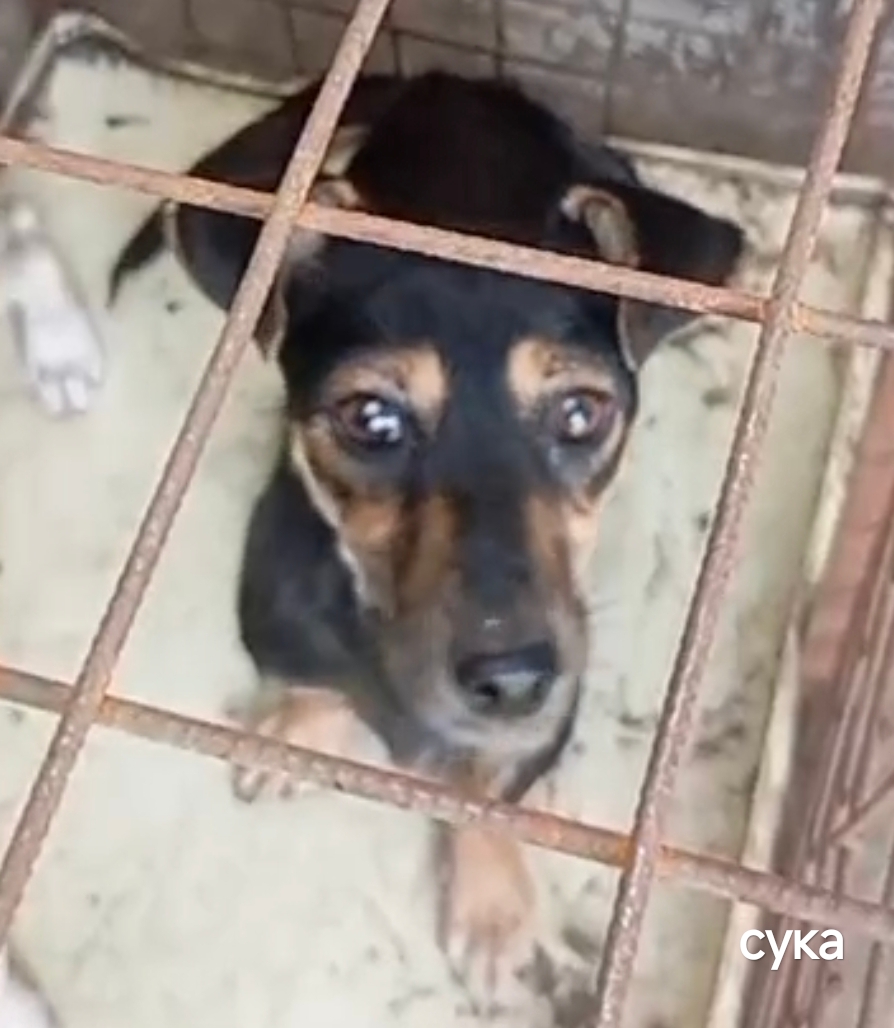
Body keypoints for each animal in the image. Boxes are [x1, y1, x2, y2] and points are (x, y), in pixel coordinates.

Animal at [109, 71, 744, 999]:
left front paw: (492, 905)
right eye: (371, 417)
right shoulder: (276, 612)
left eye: (582, 413)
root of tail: (452, 80)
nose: (512, 680)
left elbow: (487, 787)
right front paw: (296, 733)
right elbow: (312, 683)